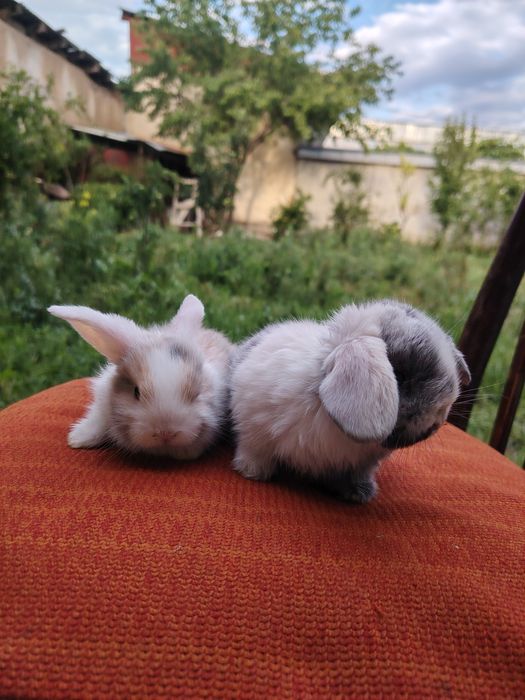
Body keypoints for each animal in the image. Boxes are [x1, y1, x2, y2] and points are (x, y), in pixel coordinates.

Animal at [230, 299, 470, 503]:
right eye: (399, 376)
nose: (437, 421)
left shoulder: (363, 463)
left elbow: (355, 474)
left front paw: (360, 494)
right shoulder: (254, 428)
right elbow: (255, 449)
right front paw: (253, 472)